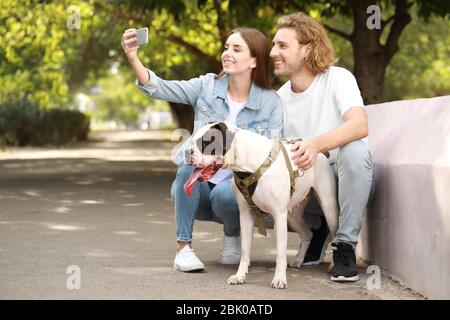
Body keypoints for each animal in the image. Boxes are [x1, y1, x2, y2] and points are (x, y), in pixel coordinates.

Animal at [184, 121, 338, 288]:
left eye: (205, 143)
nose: (186, 152)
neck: (247, 163)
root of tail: (321, 153)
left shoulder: (279, 215)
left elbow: (280, 253)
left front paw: (279, 279)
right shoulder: (245, 215)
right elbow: (245, 250)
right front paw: (240, 275)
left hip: (328, 209)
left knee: (334, 233)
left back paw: (333, 265)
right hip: (292, 216)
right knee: (307, 233)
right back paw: (298, 260)